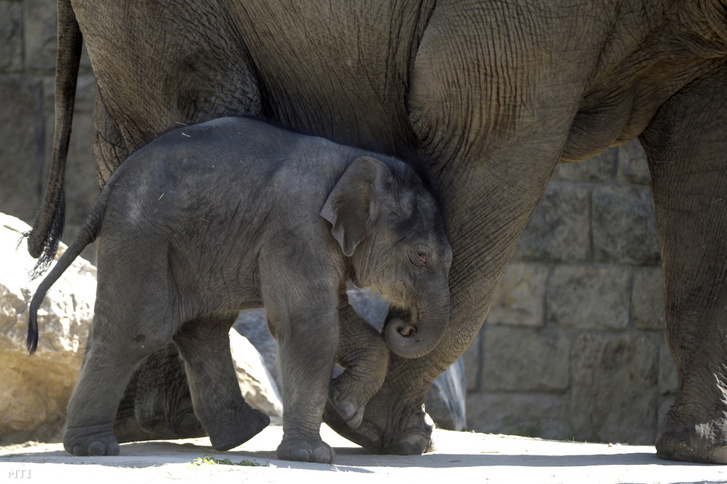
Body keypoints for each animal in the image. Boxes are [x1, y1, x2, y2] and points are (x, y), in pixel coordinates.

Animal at [28, 115, 452, 464]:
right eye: (420, 255)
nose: (404, 324)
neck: (354, 159)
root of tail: (107, 191)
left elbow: (337, 315)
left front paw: (344, 408)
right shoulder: (296, 229)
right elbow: (308, 325)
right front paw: (312, 456)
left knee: (204, 329)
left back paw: (242, 433)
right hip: (141, 237)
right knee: (138, 332)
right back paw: (92, 448)